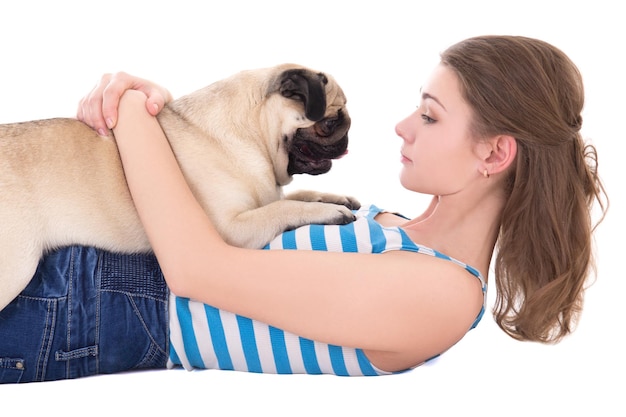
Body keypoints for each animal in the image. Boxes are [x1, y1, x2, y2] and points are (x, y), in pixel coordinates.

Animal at [0, 62, 358, 308]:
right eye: (330, 122)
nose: (347, 135)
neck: (251, 134)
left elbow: (298, 193)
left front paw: (333, 198)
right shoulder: (229, 229)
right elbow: (284, 205)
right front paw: (327, 212)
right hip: (16, 268)